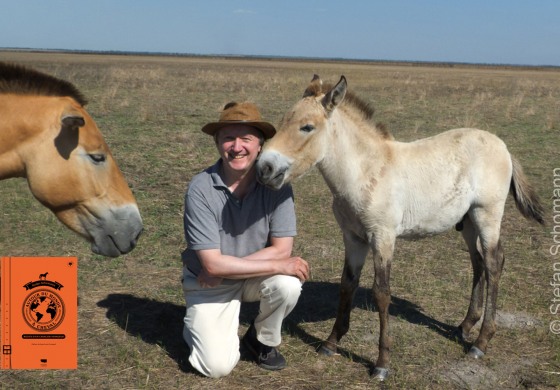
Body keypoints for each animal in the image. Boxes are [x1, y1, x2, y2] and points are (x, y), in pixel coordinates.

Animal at [256, 74, 544, 380]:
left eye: (307, 127)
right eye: (283, 120)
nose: (264, 168)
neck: (366, 171)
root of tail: (503, 146)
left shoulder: (382, 237)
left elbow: (381, 293)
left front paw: (382, 363)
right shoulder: (353, 238)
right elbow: (348, 285)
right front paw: (331, 343)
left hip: (487, 215)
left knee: (493, 264)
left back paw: (481, 342)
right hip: (467, 222)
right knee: (478, 264)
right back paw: (465, 326)